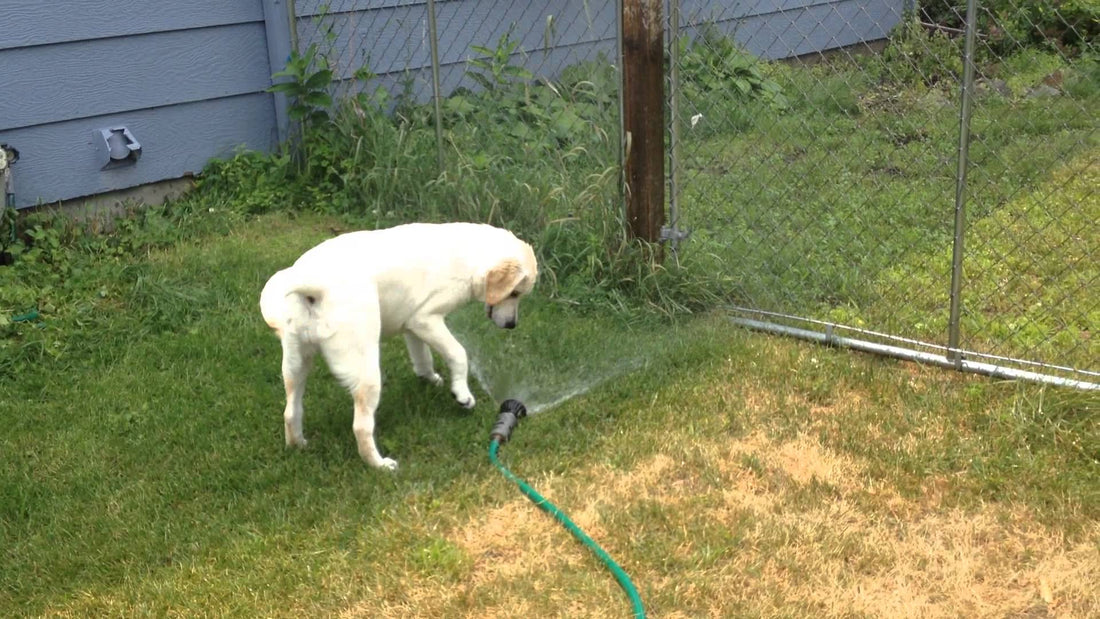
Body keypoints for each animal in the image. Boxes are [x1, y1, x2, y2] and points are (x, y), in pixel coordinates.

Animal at [261, 223, 536, 470]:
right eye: (514, 293)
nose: (512, 325)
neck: (469, 255)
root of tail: (312, 285)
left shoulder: (413, 325)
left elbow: (422, 357)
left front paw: (430, 378)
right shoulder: (426, 318)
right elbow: (459, 354)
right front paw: (462, 394)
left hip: (296, 365)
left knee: (291, 411)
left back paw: (298, 446)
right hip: (367, 373)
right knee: (361, 426)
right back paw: (380, 465)